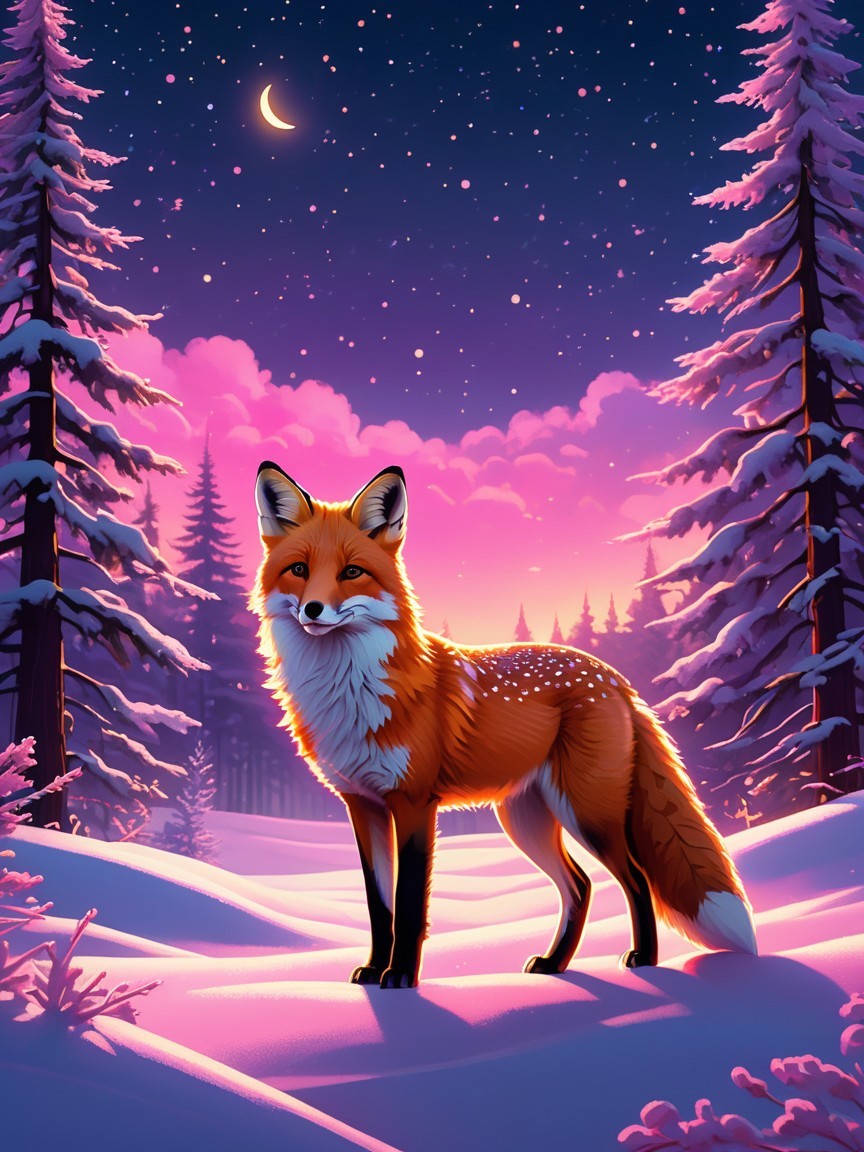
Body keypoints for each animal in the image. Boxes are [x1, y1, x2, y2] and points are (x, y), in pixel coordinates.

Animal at [252, 462, 757, 989]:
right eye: (299, 570)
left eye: (351, 572)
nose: (313, 610)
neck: (350, 689)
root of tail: (614, 677)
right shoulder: (362, 805)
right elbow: (378, 906)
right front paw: (374, 969)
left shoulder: (413, 802)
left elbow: (409, 905)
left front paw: (401, 977)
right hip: (526, 819)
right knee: (580, 885)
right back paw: (553, 965)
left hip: (587, 812)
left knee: (636, 879)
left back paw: (645, 960)